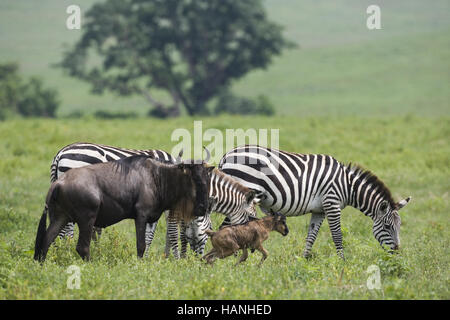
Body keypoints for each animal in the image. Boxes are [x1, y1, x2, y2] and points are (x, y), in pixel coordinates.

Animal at [34, 156, 214, 262]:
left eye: (207, 178)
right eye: (194, 178)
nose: (203, 208)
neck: (157, 177)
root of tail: (58, 183)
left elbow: (148, 242)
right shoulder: (141, 215)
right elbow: (141, 245)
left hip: (60, 218)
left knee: (46, 240)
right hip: (87, 219)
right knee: (82, 247)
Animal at [218, 146, 412, 258]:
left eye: (399, 226)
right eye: (387, 227)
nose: (397, 253)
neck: (348, 186)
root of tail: (226, 156)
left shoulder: (319, 210)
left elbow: (311, 236)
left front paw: (304, 260)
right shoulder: (332, 203)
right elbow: (337, 235)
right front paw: (342, 262)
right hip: (241, 198)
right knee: (226, 227)